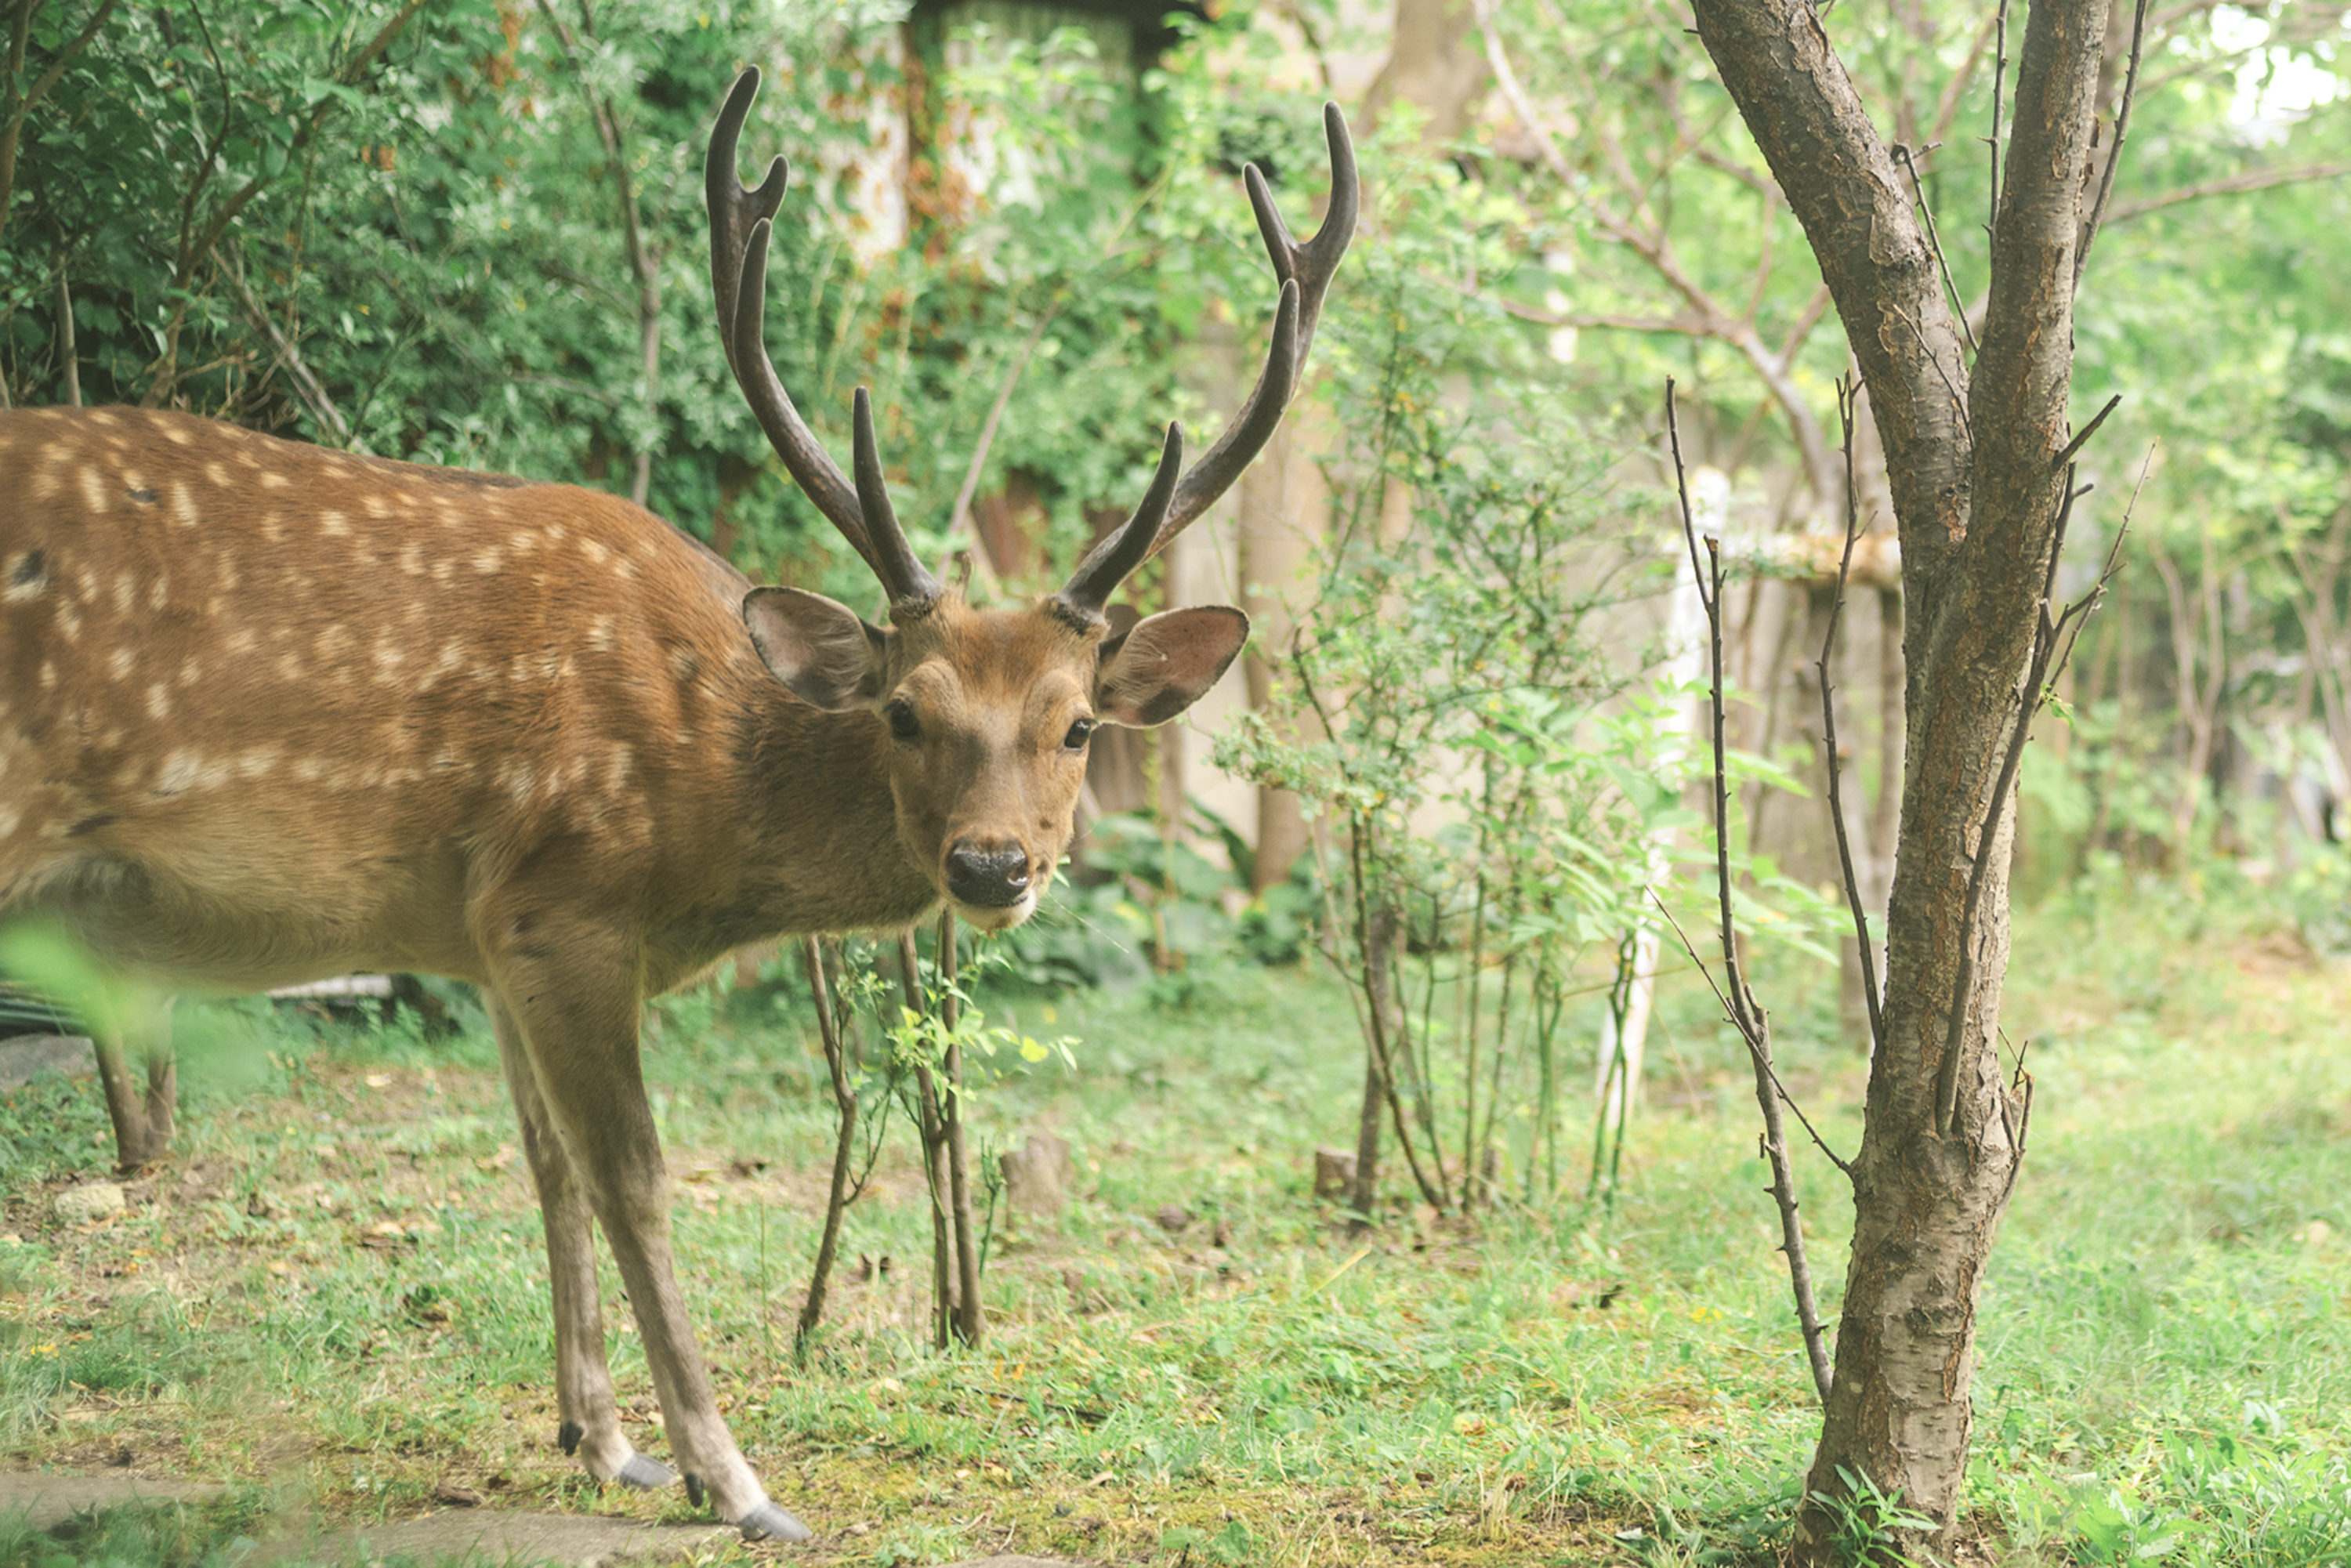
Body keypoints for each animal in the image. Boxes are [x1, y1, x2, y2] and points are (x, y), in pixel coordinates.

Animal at [0, 68, 1354, 1541]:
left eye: (1078, 724)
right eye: (905, 710)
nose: (994, 867)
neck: (706, 831)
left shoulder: (484, 930)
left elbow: (546, 1163)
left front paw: (599, 1439)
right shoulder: (565, 900)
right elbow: (637, 1177)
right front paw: (732, 1475)